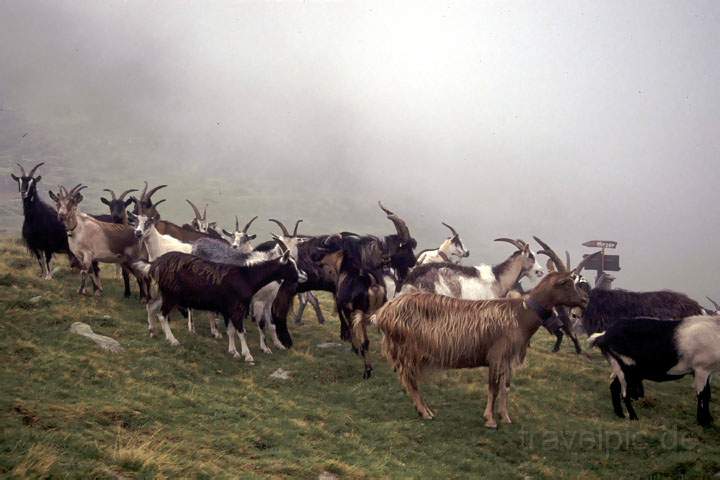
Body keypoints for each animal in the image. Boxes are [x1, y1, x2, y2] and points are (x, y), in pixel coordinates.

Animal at [374, 270, 588, 428]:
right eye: (566, 282)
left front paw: (505, 417)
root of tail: (383, 312)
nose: (585, 300)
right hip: (407, 350)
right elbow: (493, 388)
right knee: (410, 381)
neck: (521, 314)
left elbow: (505, 387)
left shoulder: (507, 359)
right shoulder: (496, 355)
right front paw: (490, 420)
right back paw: (425, 412)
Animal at [592, 316, 720, 426]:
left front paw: (708, 420)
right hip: (626, 368)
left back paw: (620, 414)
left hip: (622, 368)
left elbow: (707, 393)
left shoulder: (707, 373)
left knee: (614, 386)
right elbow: (702, 394)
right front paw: (704, 422)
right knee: (624, 393)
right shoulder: (701, 369)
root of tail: (603, 336)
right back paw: (633, 417)